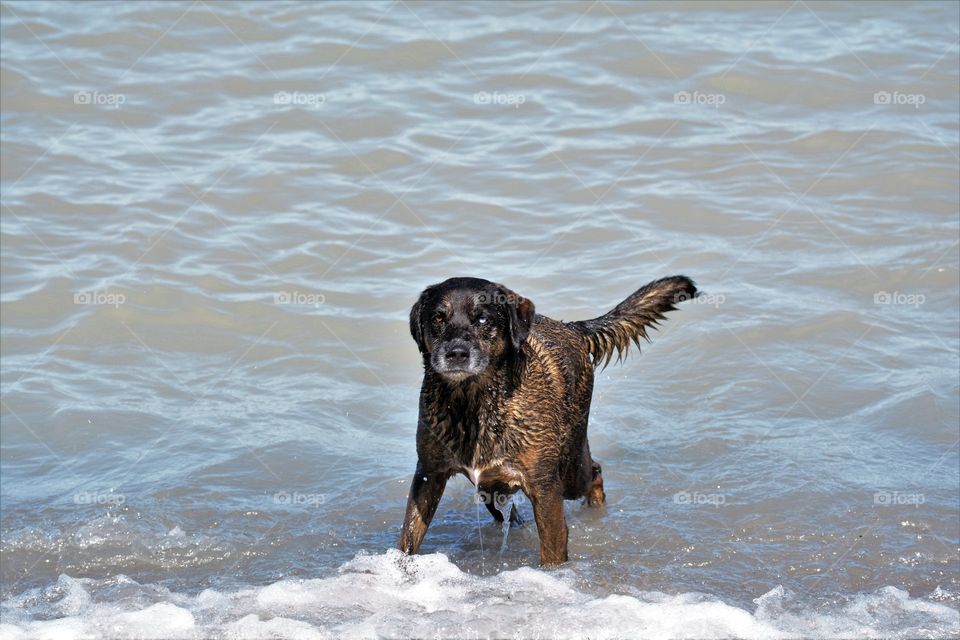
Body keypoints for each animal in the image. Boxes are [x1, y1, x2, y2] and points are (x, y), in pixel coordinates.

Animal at [398, 276, 696, 564]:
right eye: (438, 318)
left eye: (482, 319)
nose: (456, 353)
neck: (473, 403)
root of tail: (572, 329)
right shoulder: (429, 474)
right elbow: (409, 537)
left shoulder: (545, 488)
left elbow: (552, 554)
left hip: (571, 465)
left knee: (594, 472)